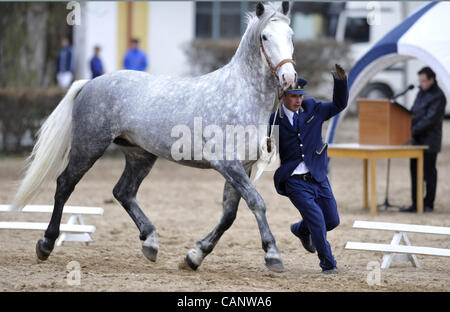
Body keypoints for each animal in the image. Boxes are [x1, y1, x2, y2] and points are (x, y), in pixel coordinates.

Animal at [10, 1, 298, 272]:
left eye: (291, 34)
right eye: (265, 37)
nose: (289, 77)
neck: (240, 95)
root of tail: (90, 83)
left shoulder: (242, 167)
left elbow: (229, 214)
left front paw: (194, 256)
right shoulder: (226, 163)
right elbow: (256, 202)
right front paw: (273, 254)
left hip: (140, 155)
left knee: (123, 192)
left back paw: (150, 242)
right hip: (89, 147)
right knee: (64, 185)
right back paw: (46, 244)